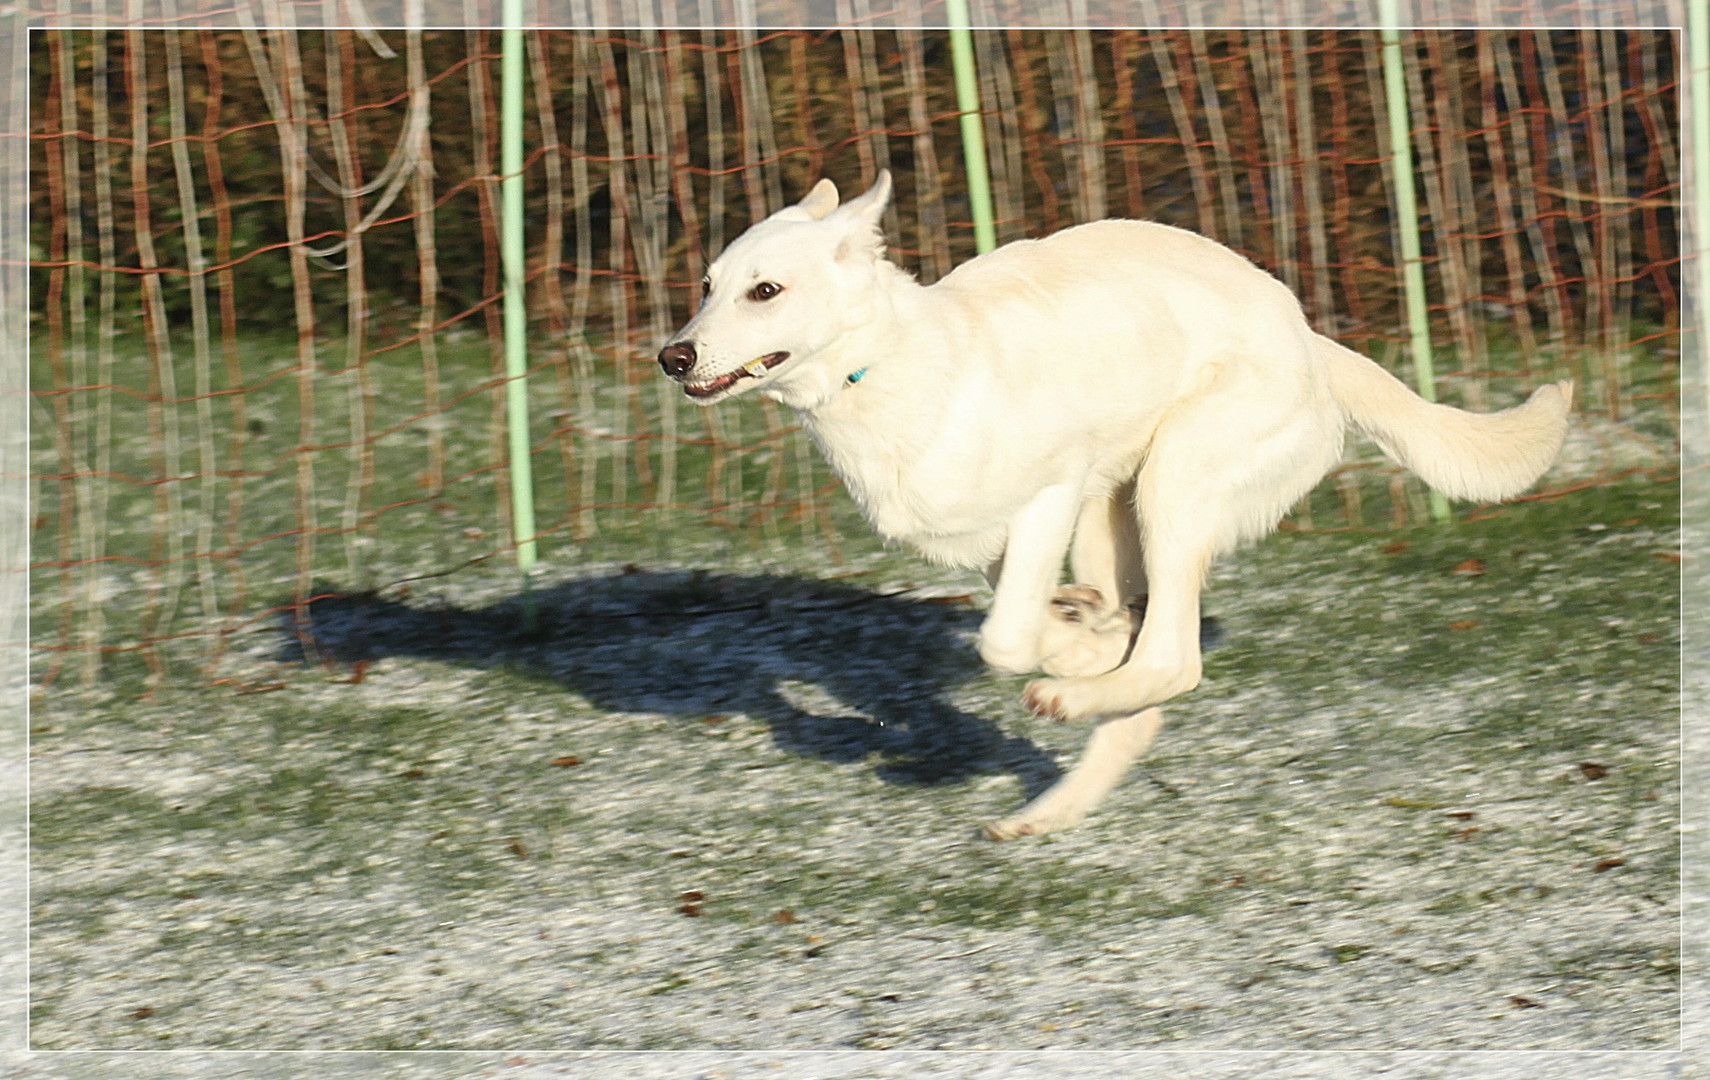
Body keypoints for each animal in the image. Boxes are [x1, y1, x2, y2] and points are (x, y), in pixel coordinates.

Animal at [656, 170, 1573, 844]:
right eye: (708, 285)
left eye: (766, 291)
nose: (673, 356)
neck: (881, 370)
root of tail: (1310, 339)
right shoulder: (997, 539)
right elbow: (1032, 623)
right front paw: (1084, 639)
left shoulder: (1055, 488)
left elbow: (1002, 639)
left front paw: (1070, 659)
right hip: (1114, 512)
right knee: (1145, 690)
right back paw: (1046, 805)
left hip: (1173, 476)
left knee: (1175, 658)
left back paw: (1072, 701)